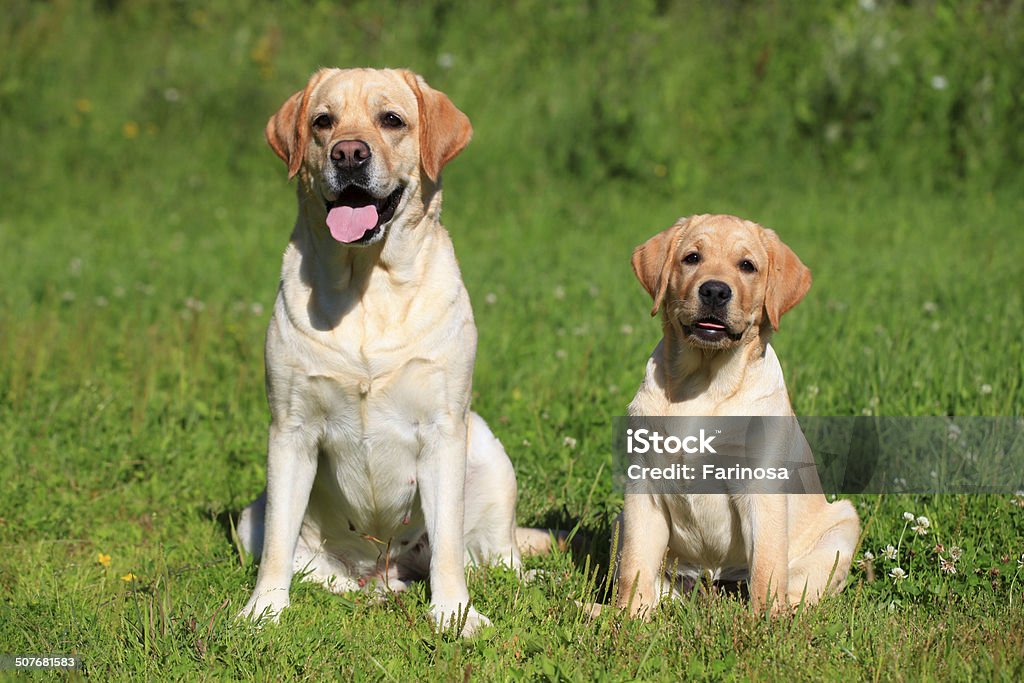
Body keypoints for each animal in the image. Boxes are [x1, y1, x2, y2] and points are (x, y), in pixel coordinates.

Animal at [237, 69, 552, 634]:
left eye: (392, 120)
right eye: (322, 121)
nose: (348, 153)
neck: (368, 287)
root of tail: (381, 568)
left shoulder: (444, 428)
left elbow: (448, 549)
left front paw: (455, 615)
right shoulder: (290, 430)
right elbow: (277, 545)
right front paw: (264, 611)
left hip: (489, 455)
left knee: (497, 557)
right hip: (250, 514)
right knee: (309, 563)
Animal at [610, 216, 860, 618]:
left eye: (747, 266)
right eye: (692, 258)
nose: (714, 291)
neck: (704, 383)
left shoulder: (762, 487)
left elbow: (767, 568)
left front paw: (764, 623)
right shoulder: (643, 488)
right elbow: (636, 566)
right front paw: (629, 619)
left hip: (842, 525)